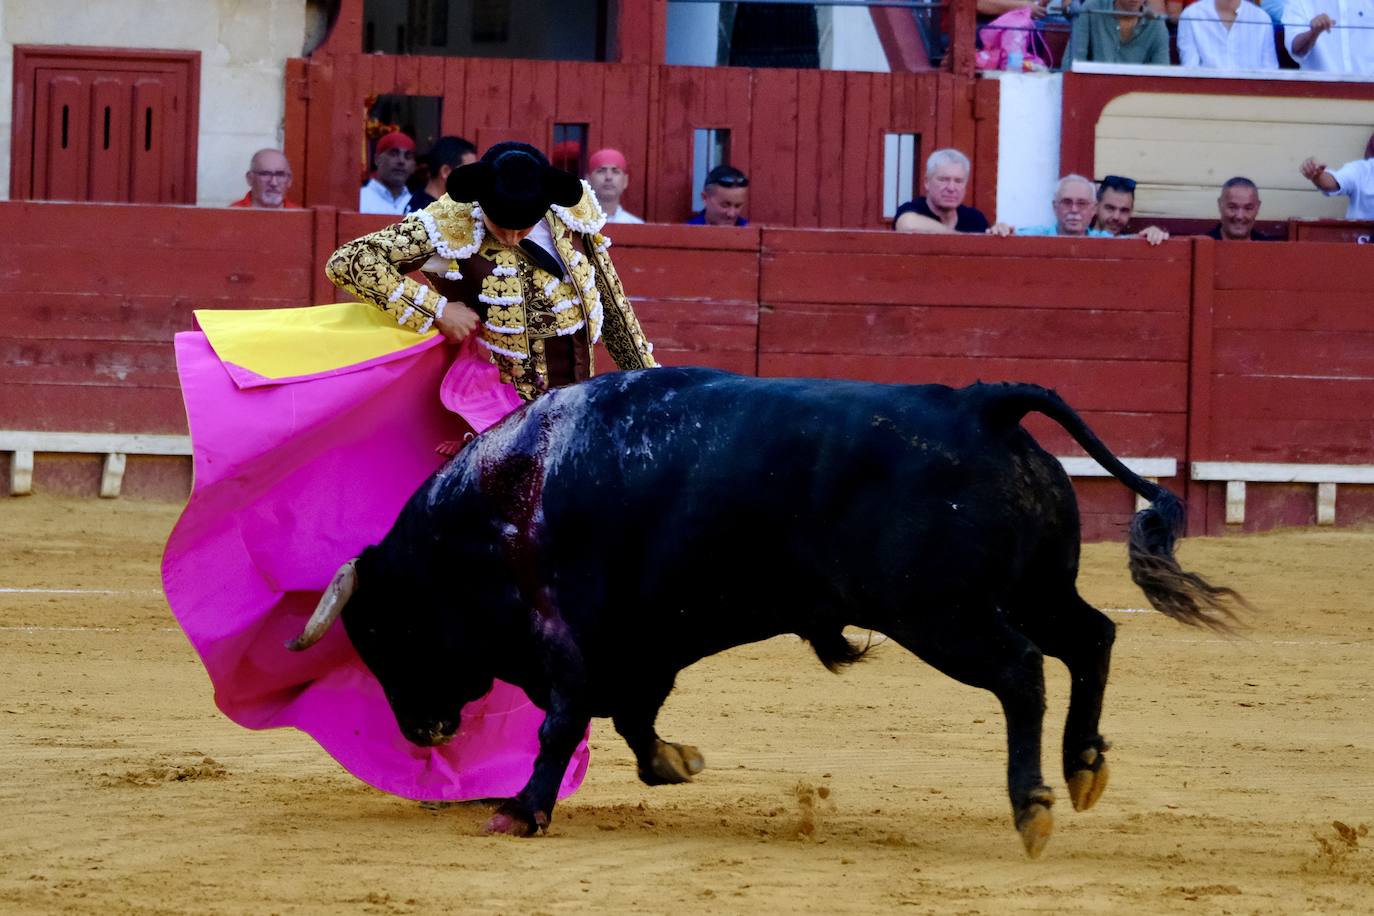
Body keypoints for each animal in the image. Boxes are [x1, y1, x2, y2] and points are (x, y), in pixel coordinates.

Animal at [284, 368, 1242, 856]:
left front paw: (522, 811)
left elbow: (564, 722)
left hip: (941, 614)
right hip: (1032, 590)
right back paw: (1081, 768)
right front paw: (676, 762)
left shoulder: (570, 634)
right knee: (1092, 637)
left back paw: (1032, 804)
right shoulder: (642, 642)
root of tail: (982, 406)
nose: (422, 730)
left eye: (381, 632)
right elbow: (634, 716)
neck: (502, 499)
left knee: (1021, 671)